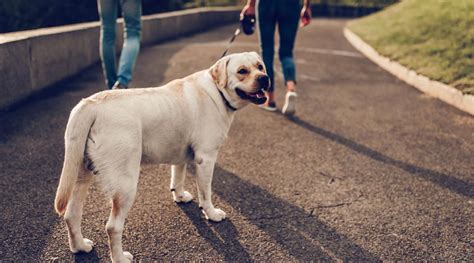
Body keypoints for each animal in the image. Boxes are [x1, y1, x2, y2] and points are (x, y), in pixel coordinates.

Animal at [53, 52, 268, 263]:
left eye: (260, 66)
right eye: (242, 71)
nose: (265, 78)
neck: (217, 92)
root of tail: (90, 105)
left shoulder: (182, 154)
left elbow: (178, 176)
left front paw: (179, 196)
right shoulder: (206, 159)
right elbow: (206, 193)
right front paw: (212, 214)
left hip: (81, 173)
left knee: (71, 215)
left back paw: (80, 246)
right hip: (125, 184)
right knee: (112, 227)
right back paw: (120, 258)